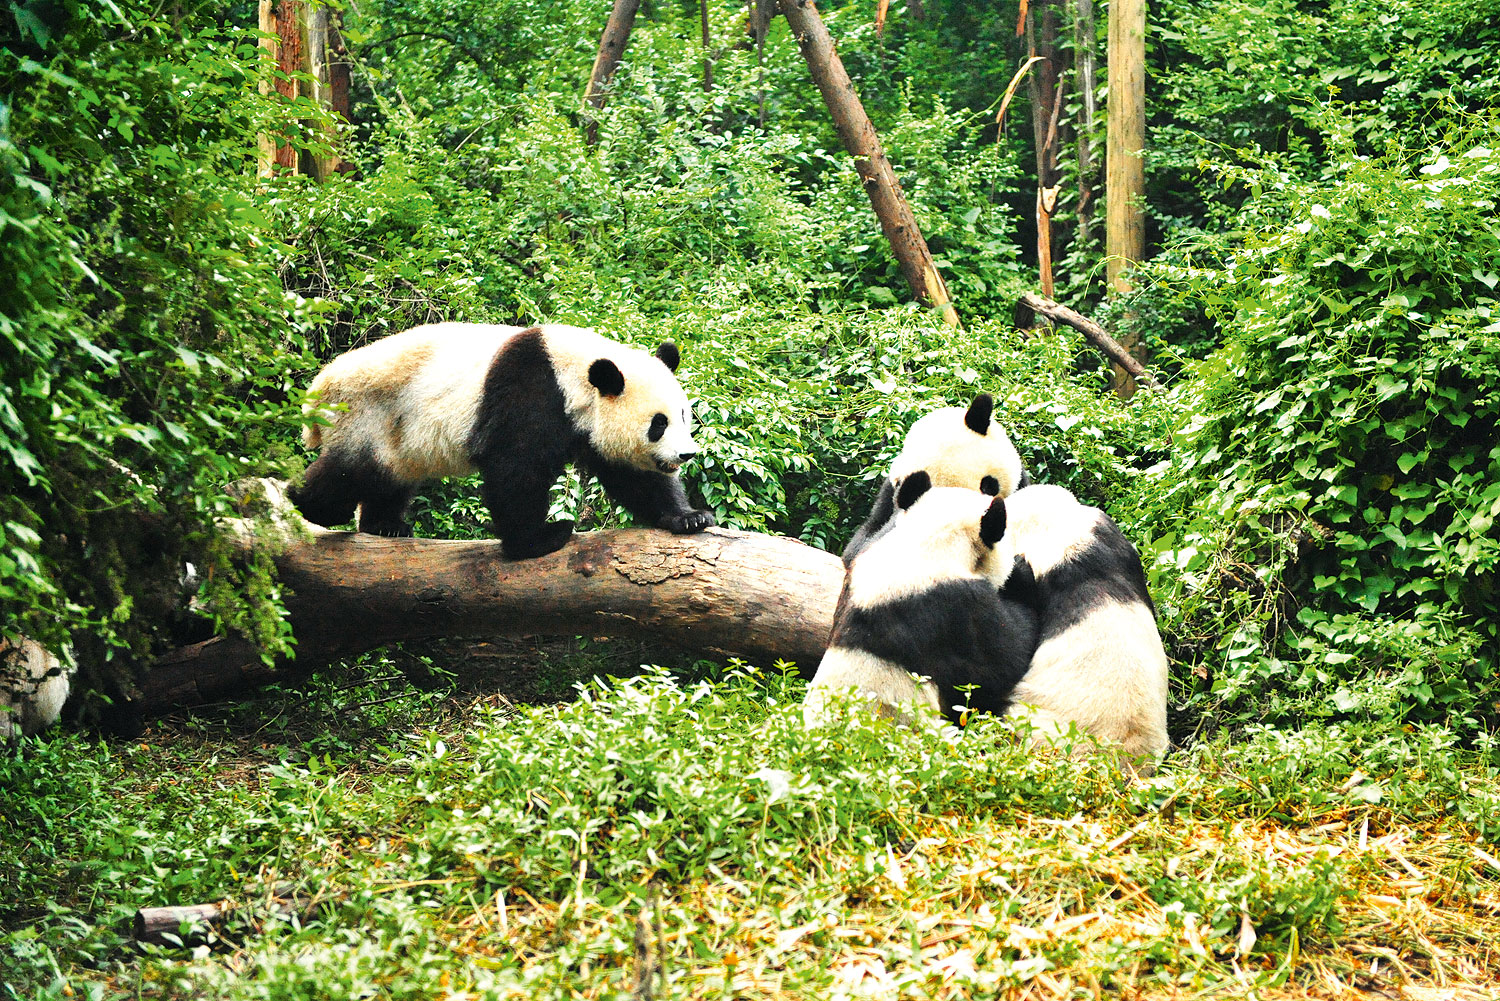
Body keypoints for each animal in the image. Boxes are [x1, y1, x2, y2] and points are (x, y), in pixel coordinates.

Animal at [289, 322, 716, 559]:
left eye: (683, 415)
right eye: (658, 423)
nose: (687, 454)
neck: (576, 375)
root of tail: (321, 385)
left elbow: (634, 476)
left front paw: (689, 517)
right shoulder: (530, 391)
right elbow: (515, 469)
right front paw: (541, 539)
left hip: (398, 433)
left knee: (390, 476)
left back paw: (386, 525)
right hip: (367, 412)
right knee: (347, 473)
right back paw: (301, 505)